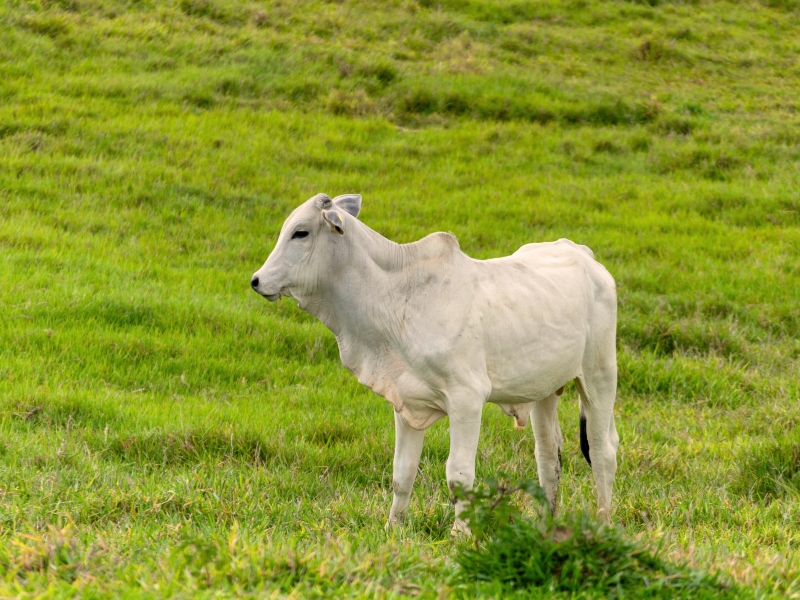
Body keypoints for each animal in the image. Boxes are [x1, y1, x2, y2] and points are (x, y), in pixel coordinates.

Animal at [250, 193, 620, 528]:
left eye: (300, 233)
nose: (256, 280)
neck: (397, 298)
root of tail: (582, 253)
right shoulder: (404, 402)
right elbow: (402, 474)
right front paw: (393, 529)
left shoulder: (467, 399)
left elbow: (459, 475)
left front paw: (460, 535)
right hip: (544, 390)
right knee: (547, 457)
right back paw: (546, 524)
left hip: (599, 376)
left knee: (602, 451)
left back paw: (603, 522)